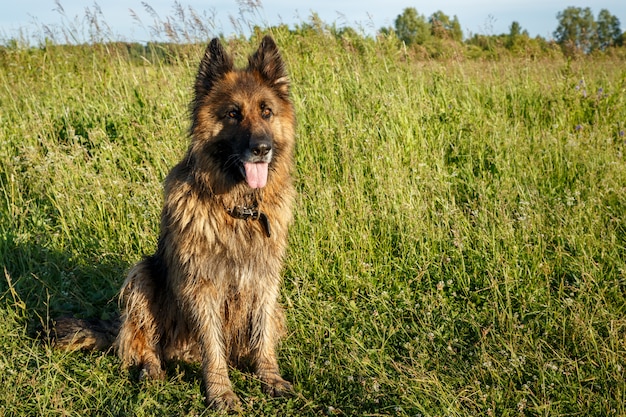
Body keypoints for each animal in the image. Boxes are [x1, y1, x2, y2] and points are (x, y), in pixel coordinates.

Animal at [51, 36, 294, 410]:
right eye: (233, 113)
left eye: (266, 111)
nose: (262, 149)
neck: (235, 208)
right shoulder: (202, 286)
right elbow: (212, 347)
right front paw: (221, 392)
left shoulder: (265, 282)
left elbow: (262, 334)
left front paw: (269, 377)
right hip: (142, 275)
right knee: (143, 345)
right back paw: (151, 371)